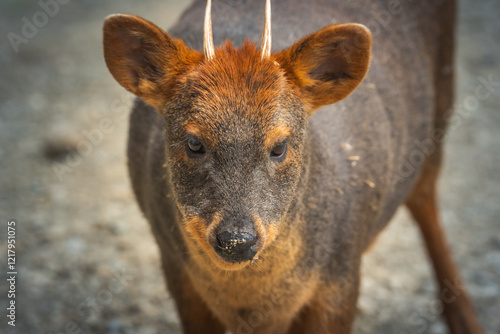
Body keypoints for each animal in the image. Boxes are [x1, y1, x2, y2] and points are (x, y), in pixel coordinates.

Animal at [102, 0, 484, 332]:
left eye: (279, 146)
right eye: (194, 143)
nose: (237, 240)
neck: (251, 306)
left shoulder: (341, 278)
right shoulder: (176, 272)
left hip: (439, 107)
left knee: (426, 198)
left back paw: (466, 319)